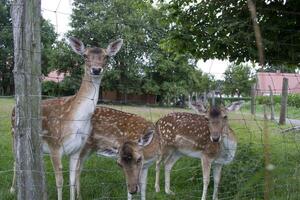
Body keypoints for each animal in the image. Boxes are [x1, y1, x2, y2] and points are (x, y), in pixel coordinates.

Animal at [10, 37, 123, 200]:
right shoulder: (55, 145)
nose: (96, 69)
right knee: (16, 161)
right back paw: (13, 189)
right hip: (15, 135)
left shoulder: (77, 149)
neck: (76, 119)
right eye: (85, 56)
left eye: (107, 56)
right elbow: (60, 181)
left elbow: (72, 180)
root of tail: (13, 107)